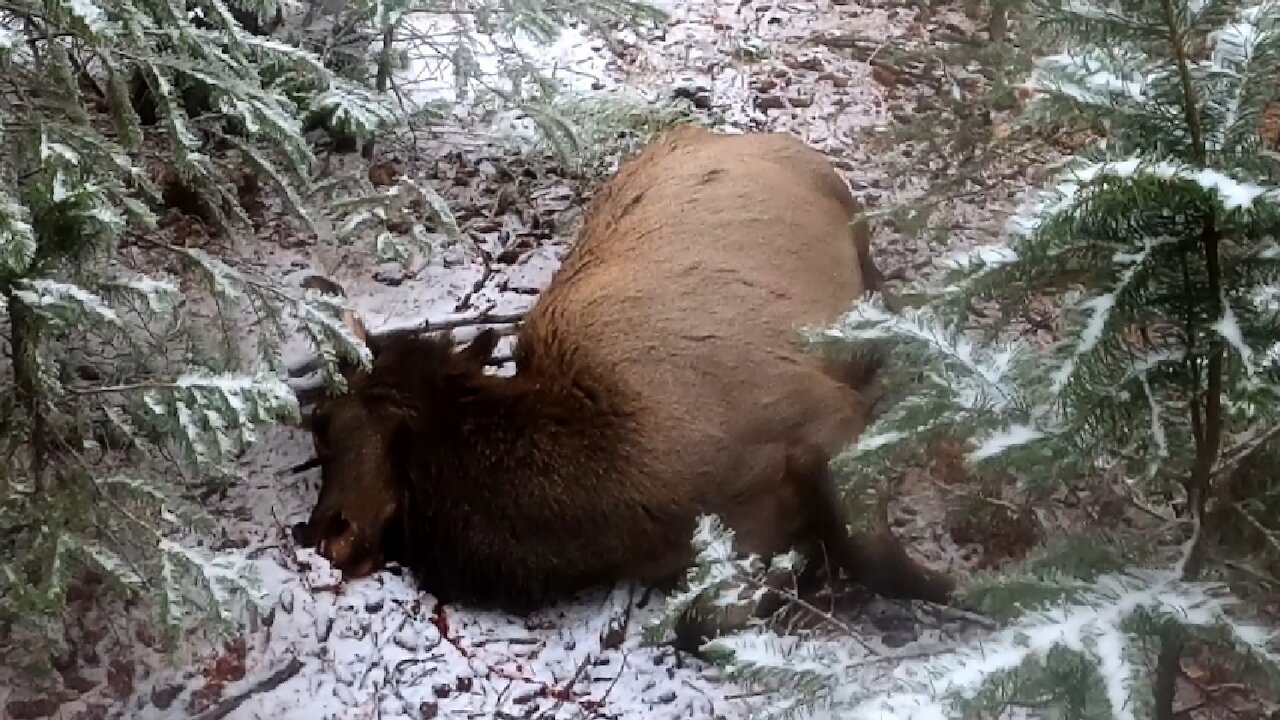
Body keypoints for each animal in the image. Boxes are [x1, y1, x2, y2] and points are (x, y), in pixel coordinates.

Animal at [285, 121, 957, 645]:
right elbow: (706, 623)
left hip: (853, 226)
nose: (318, 532)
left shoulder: (825, 415)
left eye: (323, 424)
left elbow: (886, 565)